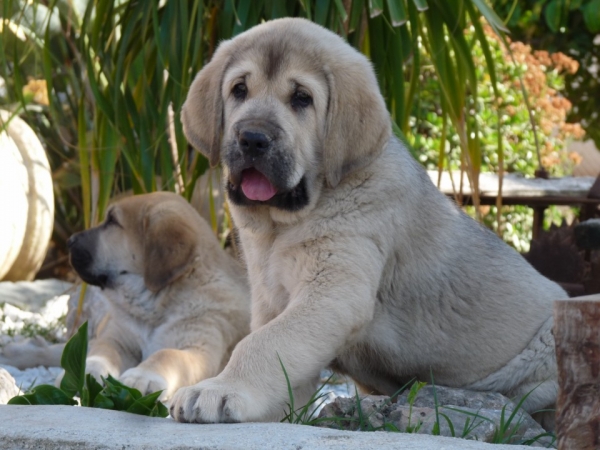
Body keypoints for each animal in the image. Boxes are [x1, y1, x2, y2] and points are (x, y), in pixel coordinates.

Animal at [67, 192, 248, 400]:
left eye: (112, 221)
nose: (69, 241)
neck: (154, 307)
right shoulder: (119, 337)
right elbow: (103, 350)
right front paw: (88, 369)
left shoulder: (200, 348)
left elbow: (168, 354)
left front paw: (142, 376)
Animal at [172, 18, 568, 426]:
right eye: (239, 89)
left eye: (301, 98)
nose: (252, 138)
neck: (283, 225)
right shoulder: (274, 299)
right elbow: (282, 360)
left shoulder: (333, 290)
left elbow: (262, 343)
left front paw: (219, 389)